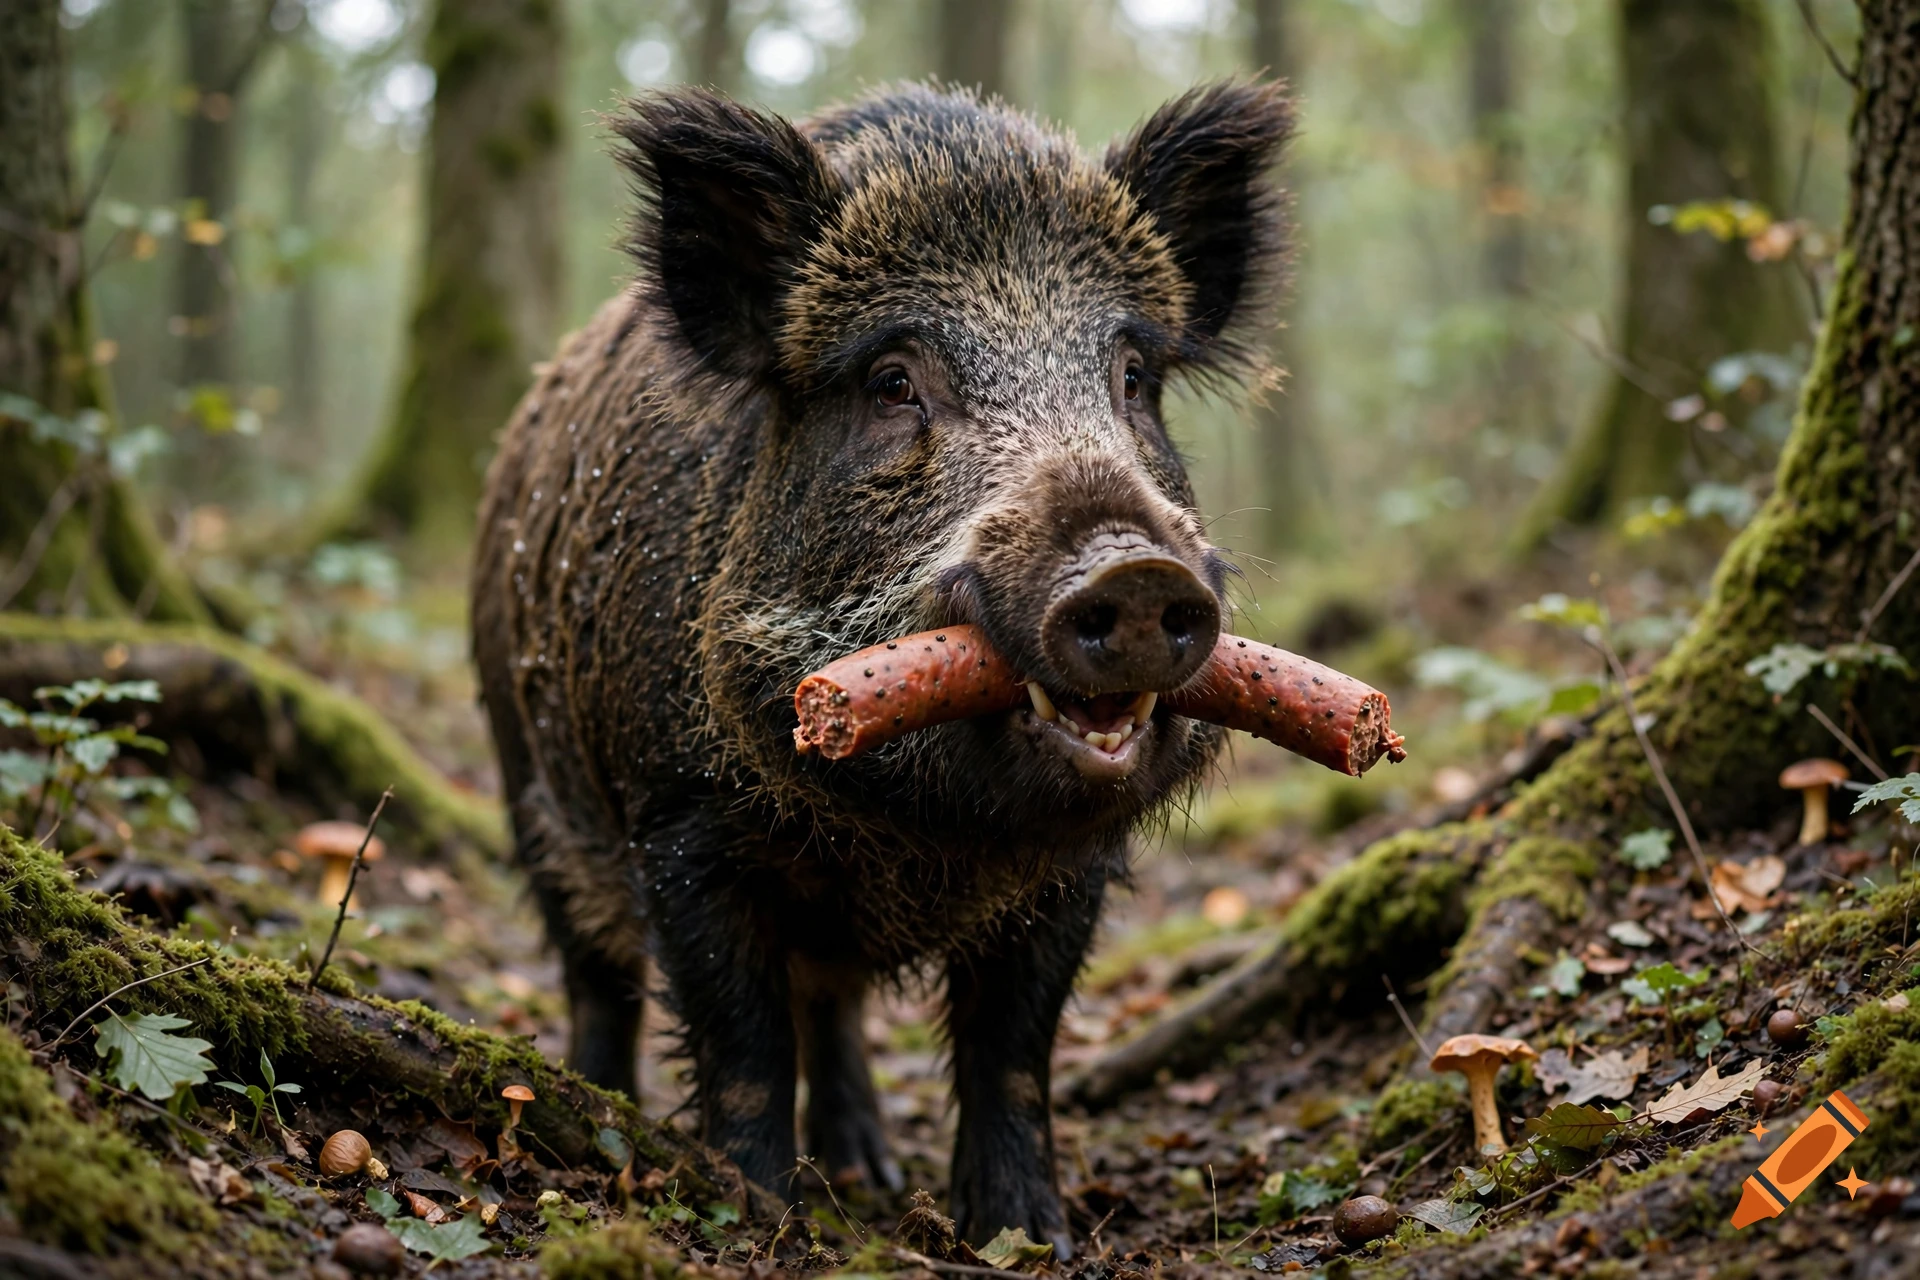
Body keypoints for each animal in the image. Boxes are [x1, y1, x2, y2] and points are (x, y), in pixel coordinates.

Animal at [471, 81, 1292, 1253]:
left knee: (835, 1002)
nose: (1134, 570)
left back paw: (866, 1165)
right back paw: (605, 1108)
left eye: (1132, 377)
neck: (916, 834)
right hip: (527, 779)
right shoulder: (678, 825)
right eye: (894, 381)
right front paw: (760, 1213)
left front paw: (1031, 1236)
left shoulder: (1073, 872)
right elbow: (742, 1042)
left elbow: (1013, 1048)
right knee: (600, 978)